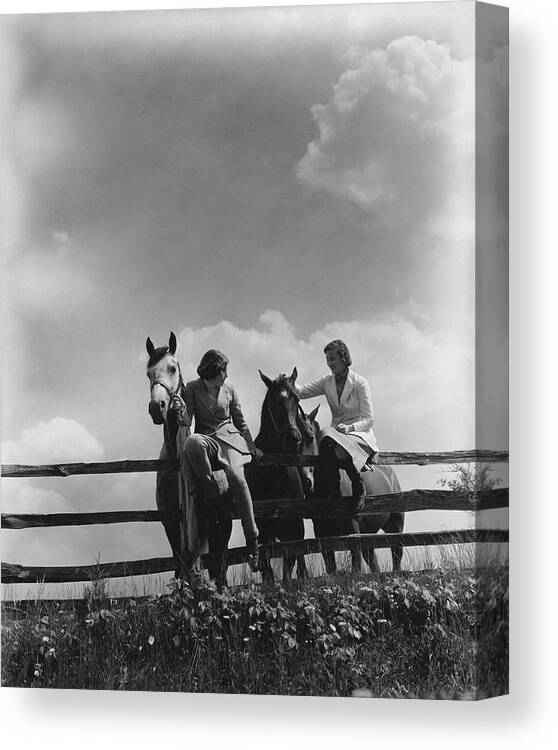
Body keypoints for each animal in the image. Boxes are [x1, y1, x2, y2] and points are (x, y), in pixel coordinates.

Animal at [145, 334, 233, 588]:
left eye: (172, 368)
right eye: (148, 373)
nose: (156, 407)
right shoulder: (171, 524)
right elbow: (179, 564)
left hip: (221, 525)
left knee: (220, 565)